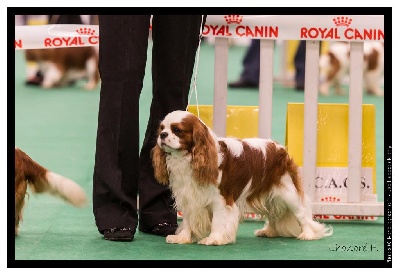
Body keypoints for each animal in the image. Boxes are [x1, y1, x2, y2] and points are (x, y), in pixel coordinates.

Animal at [152, 111, 332, 245]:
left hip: (288, 193)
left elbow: (218, 220)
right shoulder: (189, 196)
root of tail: (280, 148)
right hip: (270, 195)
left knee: (301, 213)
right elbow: (189, 220)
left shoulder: (221, 199)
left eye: (177, 130)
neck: (188, 158)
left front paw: (213, 239)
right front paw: (183, 238)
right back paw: (269, 231)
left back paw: (307, 234)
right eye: (162, 128)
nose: (163, 135)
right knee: (274, 213)